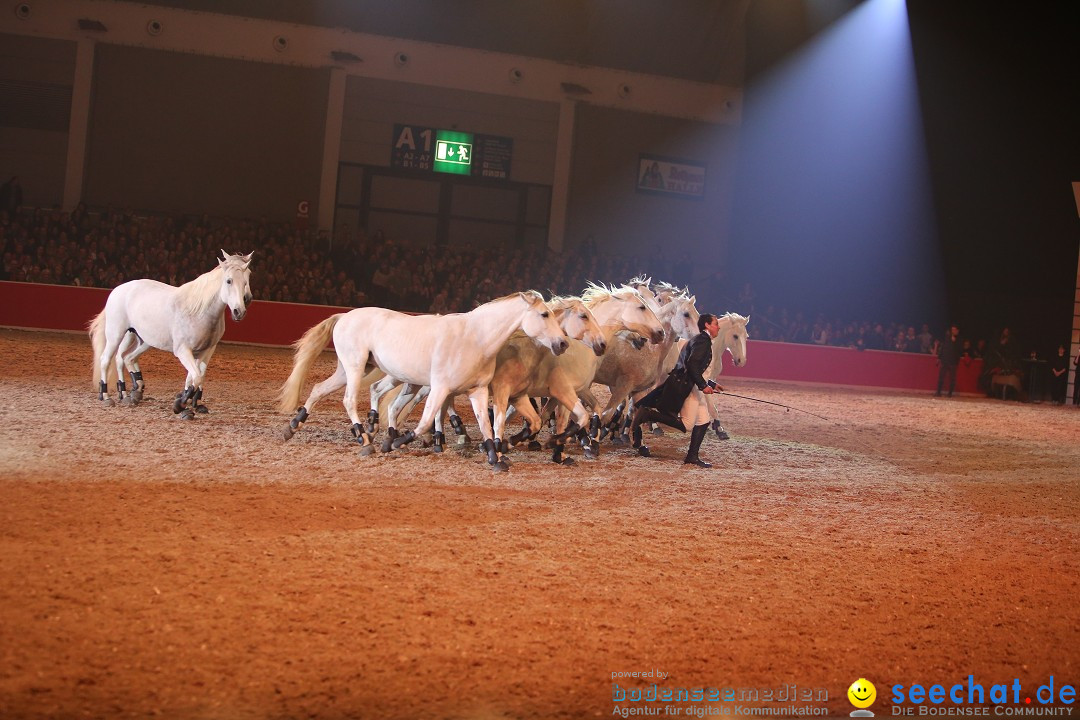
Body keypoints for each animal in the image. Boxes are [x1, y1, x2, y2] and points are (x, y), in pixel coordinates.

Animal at [88, 250, 252, 418]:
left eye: (247, 277)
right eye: (229, 281)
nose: (240, 310)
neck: (199, 311)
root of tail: (118, 289)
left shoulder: (206, 351)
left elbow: (195, 378)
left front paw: (191, 403)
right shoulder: (183, 350)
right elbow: (196, 377)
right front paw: (180, 406)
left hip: (141, 339)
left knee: (126, 358)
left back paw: (129, 393)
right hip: (115, 335)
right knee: (107, 360)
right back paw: (107, 396)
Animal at [276, 289, 565, 470]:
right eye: (544, 314)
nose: (562, 343)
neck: (476, 338)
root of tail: (344, 316)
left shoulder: (478, 390)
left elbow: (486, 424)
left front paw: (496, 458)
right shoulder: (439, 388)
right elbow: (427, 420)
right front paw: (397, 442)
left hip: (347, 370)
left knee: (318, 389)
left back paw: (293, 426)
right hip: (355, 368)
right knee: (349, 400)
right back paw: (364, 439)